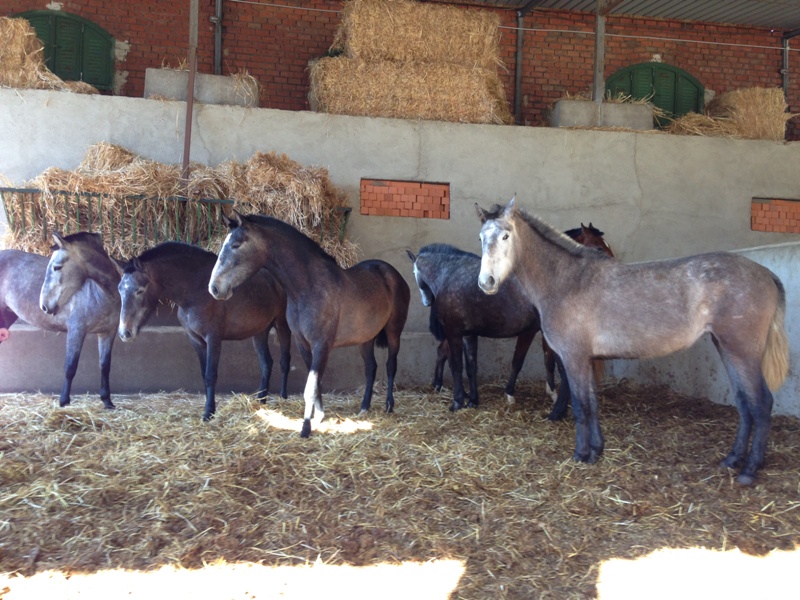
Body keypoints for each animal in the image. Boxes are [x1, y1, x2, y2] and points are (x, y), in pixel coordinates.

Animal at [0, 232, 120, 410]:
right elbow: (70, 367)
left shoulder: (107, 333)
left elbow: (105, 367)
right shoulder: (76, 331)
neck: (102, 294)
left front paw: (107, 401)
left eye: (57, 267)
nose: (44, 306)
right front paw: (63, 401)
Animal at [117, 241, 292, 420]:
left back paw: (283, 397)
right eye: (120, 289)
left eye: (139, 290)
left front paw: (208, 412)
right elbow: (203, 374)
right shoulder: (196, 340)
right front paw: (209, 408)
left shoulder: (213, 338)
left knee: (284, 361)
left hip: (282, 324)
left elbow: (210, 375)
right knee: (266, 363)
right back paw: (261, 399)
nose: (125, 333)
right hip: (260, 332)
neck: (196, 292)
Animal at [209, 211, 410, 436]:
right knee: (371, 368)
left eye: (236, 245)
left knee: (391, 366)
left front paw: (306, 428)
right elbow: (316, 383)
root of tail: (391, 272)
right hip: (366, 338)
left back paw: (389, 405)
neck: (307, 287)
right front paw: (319, 416)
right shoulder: (302, 343)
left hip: (393, 332)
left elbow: (310, 387)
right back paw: (364, 407)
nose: (214, 288)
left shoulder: (321, 345)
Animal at [478, 199, 792, 486]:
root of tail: (765, 273)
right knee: (744, 402)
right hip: (726, 348)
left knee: (761, 402)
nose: (486, 282)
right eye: (481, 238)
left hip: (742, 351)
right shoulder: (586, 360)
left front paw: (581, 455)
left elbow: (580, 406)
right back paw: (732, 459)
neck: (566, 281)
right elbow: (592, 403)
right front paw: (596, 451)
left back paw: (749, 470)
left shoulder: (573, 358)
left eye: (505, 236)